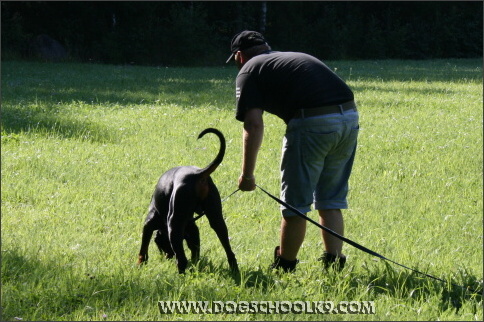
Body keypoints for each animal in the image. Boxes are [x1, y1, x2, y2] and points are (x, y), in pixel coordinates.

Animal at [136, 127, 238, 272]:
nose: (168, 257)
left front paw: (139, 264)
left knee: (182, 260)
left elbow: (143, 249)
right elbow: (195, 251)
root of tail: (198, 174)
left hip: (174, 224)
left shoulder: (149, 224)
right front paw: (196, 265)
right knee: (229, 251)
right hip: (216, 218)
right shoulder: (193, 229)